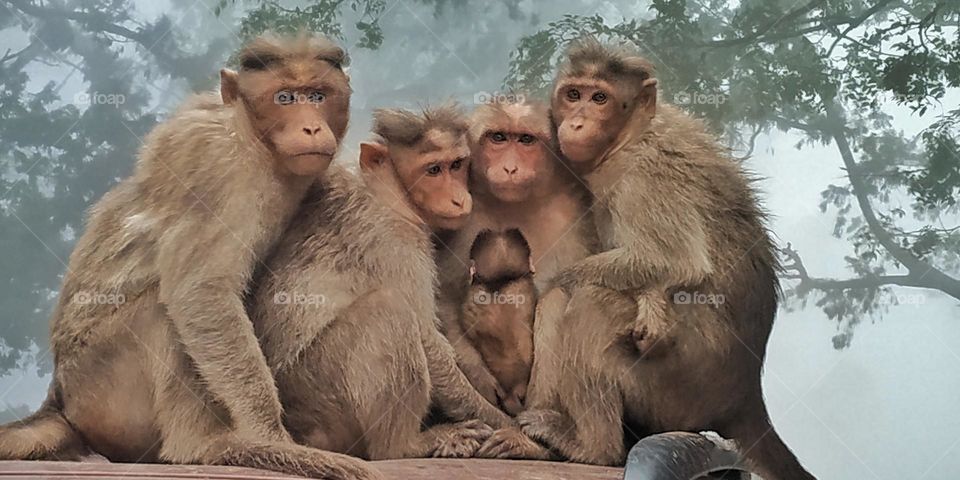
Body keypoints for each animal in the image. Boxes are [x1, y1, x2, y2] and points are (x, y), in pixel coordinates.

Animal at [0, 35, 381, 480]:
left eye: (318, 96)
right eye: (284, 97)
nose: (311, 126)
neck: (254, 140)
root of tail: (59, 401)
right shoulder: (218, 168)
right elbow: (201, 292)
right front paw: (269, 434)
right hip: (102, 389)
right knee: (162, 310)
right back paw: (205, 447)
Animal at [249, 105, 514, 461]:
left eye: (457, 164)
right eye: (433, 170)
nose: (459, 199)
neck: (389, 192)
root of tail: (299, 432)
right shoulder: (394, 240)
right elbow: (429, 342)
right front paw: (510, 425)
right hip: (321, 398)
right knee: (389, 309)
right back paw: (404, 445)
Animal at [478, 38, 816, 480]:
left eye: (599, 98)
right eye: (574, 94)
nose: (577, 123)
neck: (632, 135)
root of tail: (744, 395)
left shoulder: (642, 174)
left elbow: (675, 262)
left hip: (676, 391)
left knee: (588, 301)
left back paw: (592, 447)